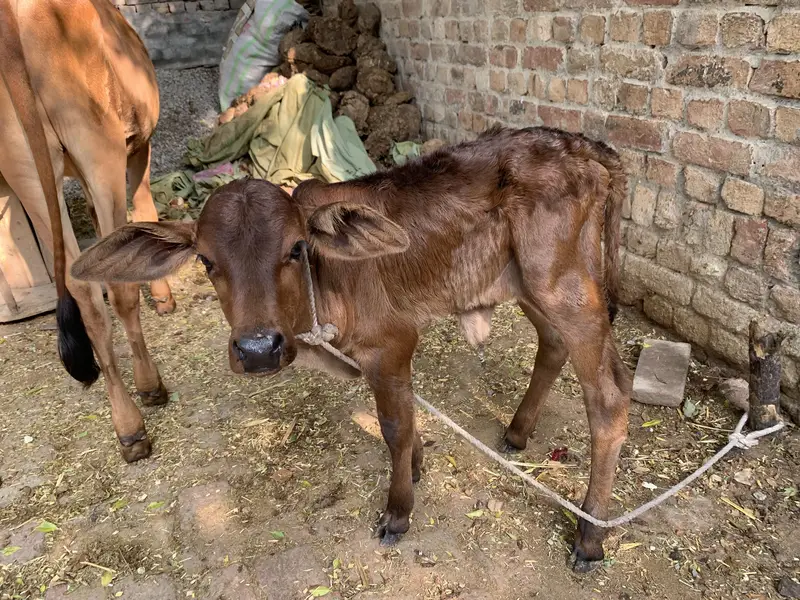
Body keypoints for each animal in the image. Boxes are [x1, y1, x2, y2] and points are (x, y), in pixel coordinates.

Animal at [0, 0, 177, 462]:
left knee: (81, 288)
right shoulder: (139, 148)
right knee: (115, 287)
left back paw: (126, 423)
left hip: (26, 168)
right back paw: (147, 393)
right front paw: (164, 296)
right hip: (99, 148)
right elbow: (145, 210)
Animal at [70, 125, 632, 572]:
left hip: (564, 287)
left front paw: (399, 511)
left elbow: (394, 426)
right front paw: (417, 467)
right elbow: (405, 420)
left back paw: (590, 536)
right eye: (206, 261)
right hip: (529, 284)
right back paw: (517, 433)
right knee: (553, 346)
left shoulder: (392, 343)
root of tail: (583, 145)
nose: (258, 349)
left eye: (296, 249)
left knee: (609, 398)